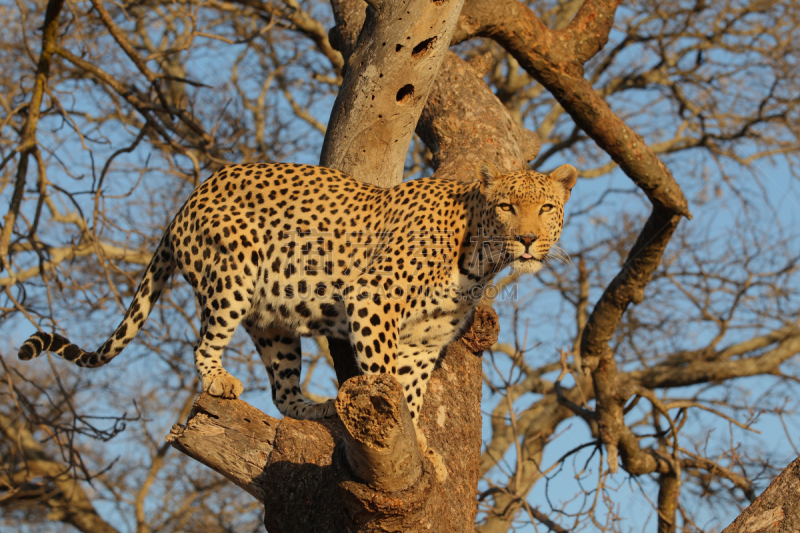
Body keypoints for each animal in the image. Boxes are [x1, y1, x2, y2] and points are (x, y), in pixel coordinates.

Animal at [17, 160, 576, 438]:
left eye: (547, 208)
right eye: (507, 207)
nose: (528, 240)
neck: (479, 258)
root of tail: (186, 201)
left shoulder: (425, 340)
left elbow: (413, 389)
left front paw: (415, 438)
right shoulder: (373, 299)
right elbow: (383, 375)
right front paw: (394, 416)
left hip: (274, 323)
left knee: (282, 394)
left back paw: (318, 408)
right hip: (234, 271)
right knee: (204, 343)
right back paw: (219, 381)